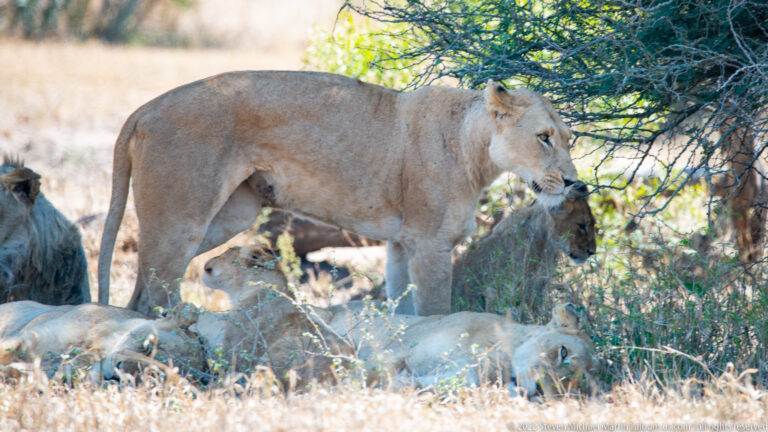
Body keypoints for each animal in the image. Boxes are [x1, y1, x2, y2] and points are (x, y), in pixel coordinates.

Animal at [97, 71, 579, 316]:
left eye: (569, 139)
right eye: (543, 138)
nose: (579, 184)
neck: (473, 148)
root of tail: (144, 109)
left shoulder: (402, 245)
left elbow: (404, 312)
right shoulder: (431, 245)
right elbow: (435, 313)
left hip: (228, 216)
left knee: (144, 294)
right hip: (178, 222)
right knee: (151, 298)